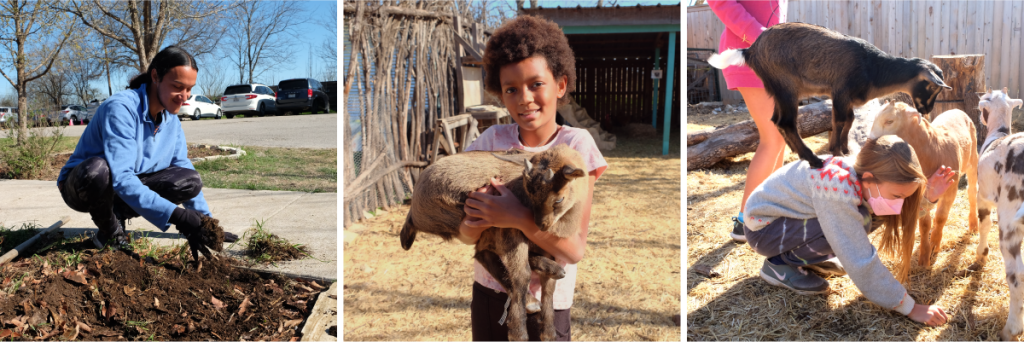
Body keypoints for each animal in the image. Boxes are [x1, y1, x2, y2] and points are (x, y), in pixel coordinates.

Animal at [401, 144, 593, 342]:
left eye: (558, 199)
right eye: (529, 194)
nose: (540, 225)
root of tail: (413, 212)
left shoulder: (546, 244)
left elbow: (548, 286)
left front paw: (548, 333)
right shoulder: (509, 225)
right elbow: (522, 274)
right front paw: (518, 332)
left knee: (484, 254)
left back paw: (551, 272)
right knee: (493, 257)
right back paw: (532, 301)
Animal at [704, 22, 950, 168]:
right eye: (932, 87)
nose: (926, 110)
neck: (873, 68)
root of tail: (750, 51)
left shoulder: (842, 96)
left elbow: (845, 120)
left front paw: (843, 149)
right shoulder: (841, 90)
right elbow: (841, 120)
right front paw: (837, 152)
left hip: (778, 91)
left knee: (776, 120)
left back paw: (801, 154)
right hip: (787, 87)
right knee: (786, 122)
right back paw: (813, 159)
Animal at [868, 100, 978, 266]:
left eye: (890, 121)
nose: (869, 143)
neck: (933, 150)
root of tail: (956, 109)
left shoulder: (951, 187)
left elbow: (941, 217)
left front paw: (935, 245)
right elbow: (925, 224)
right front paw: (924, 256)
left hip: (973, 160)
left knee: (972, 193)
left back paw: (973, 225)